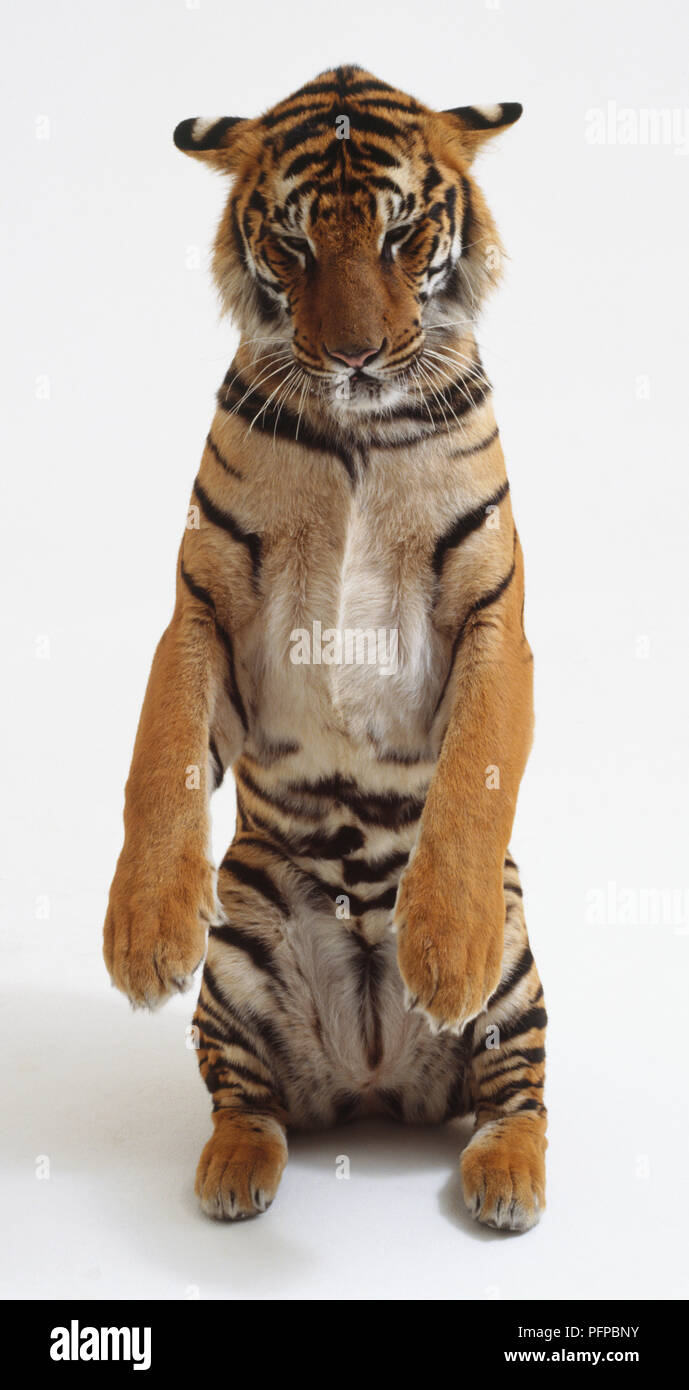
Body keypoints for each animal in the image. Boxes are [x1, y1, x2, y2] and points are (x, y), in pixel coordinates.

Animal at [103, 65, 547, 1232]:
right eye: (296, 245)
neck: (358, 427)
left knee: (518, 1092)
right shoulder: (205, 602)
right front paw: (140, 932)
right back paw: (233, 1169)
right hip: (241, 940)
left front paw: (443, 951)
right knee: (243, 1097)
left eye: (398, 235)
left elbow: (472, 784)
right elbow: (158, 760)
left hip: (522, 961)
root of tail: (374, 1085)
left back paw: (504, 1176)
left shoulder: (491, 613)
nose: (352, 355)